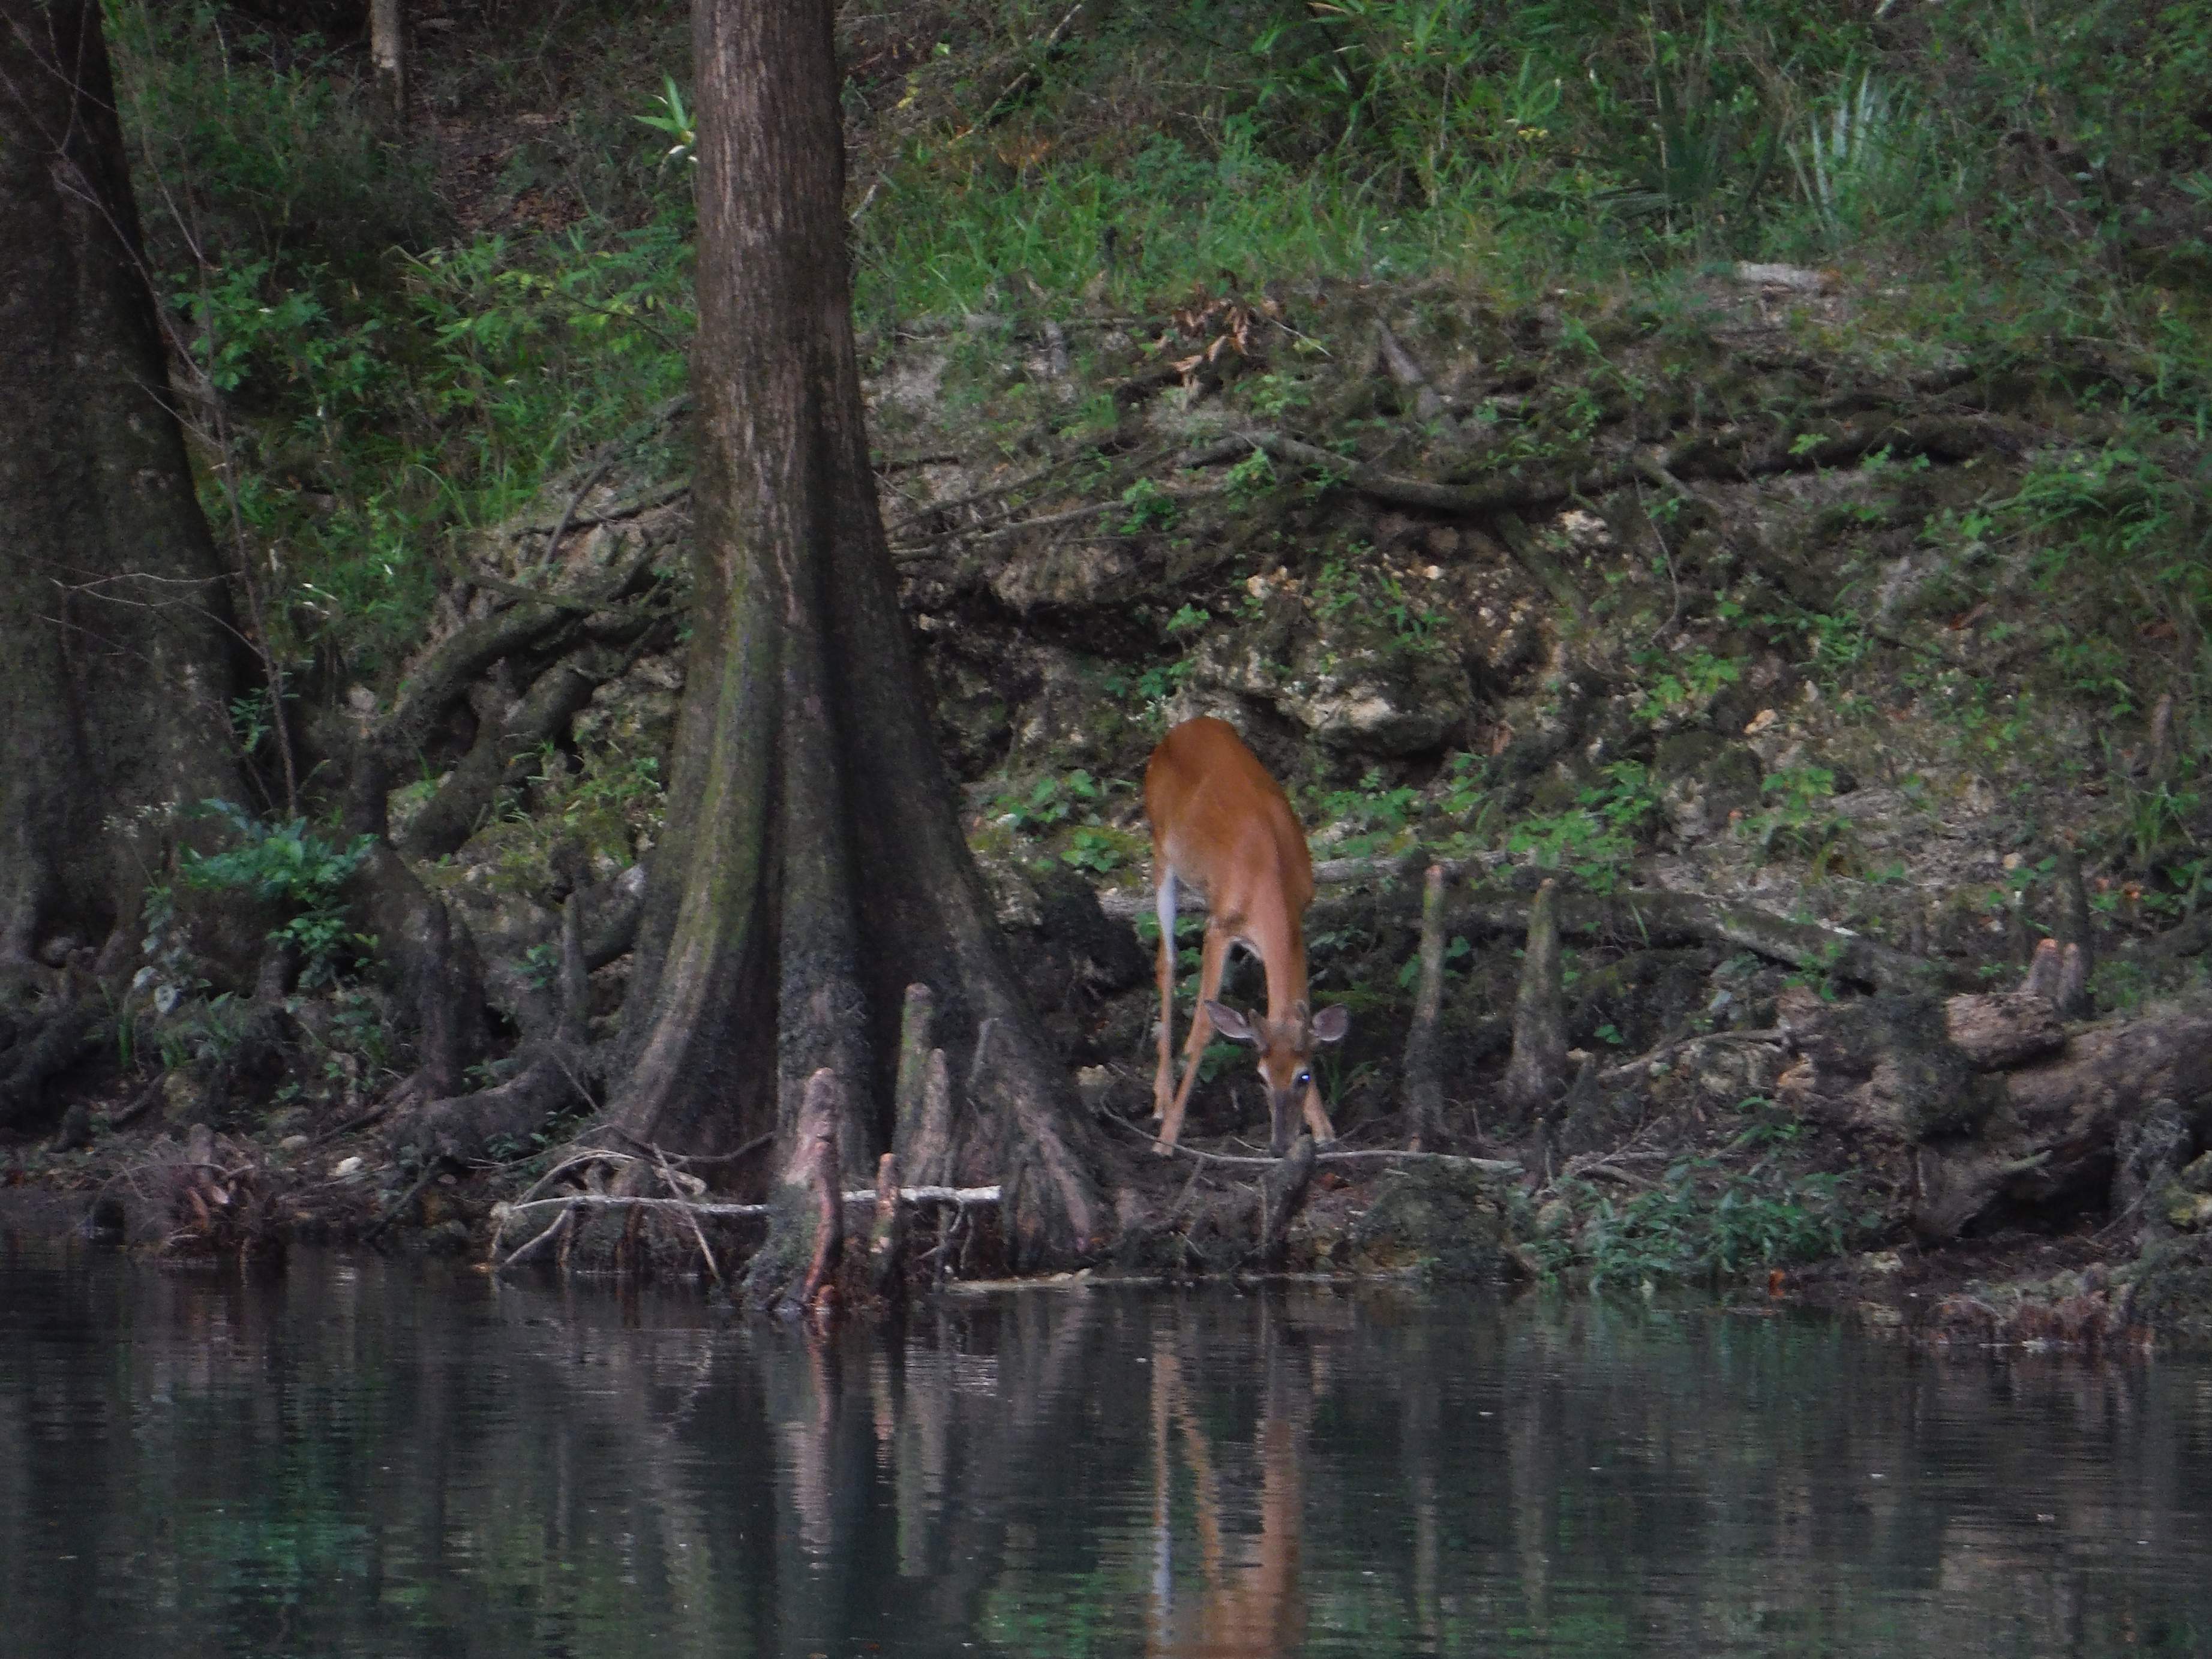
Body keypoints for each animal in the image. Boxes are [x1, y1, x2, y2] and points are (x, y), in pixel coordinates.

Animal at [1144, 716, 1349, 1156]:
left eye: (1304, 1077)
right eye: (1260, 1077)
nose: (1279, 1145)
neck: (1267, 876)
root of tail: (1186, 725)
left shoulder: (1297, 921)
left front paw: (1323, 1127)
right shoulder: (1220, 926)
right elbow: (1204, 1030)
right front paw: (1168, 1138)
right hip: (1160, 850)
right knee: (1166, 962)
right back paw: (1162, 1100)